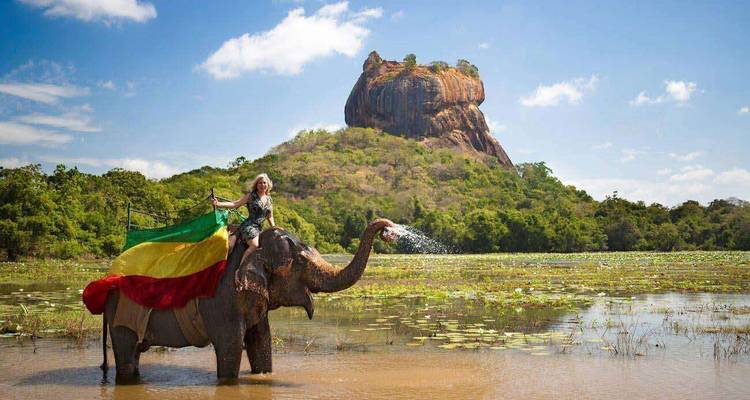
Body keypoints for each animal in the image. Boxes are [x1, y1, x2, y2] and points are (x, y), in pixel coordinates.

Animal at [101, 218, 395, 383]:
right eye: (301, 262)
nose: (388, 228)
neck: (251, 247)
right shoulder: (221, 299)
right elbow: (231, 347)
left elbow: (261, 340)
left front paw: (264, 377)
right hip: (121, 313)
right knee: (126, 356)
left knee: (134, 355)